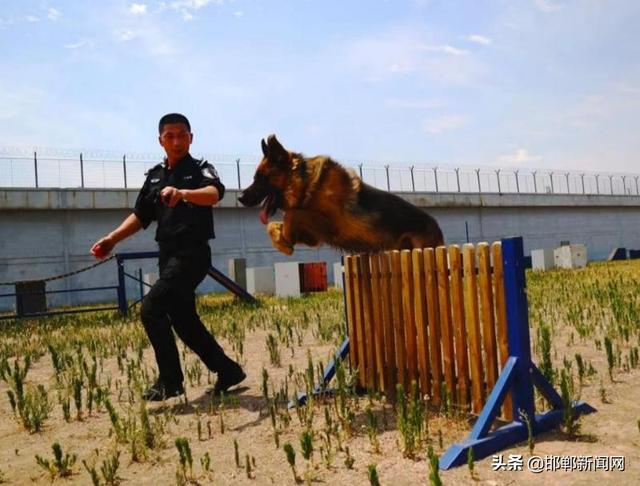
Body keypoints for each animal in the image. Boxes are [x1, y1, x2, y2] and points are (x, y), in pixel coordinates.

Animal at [238, 133, 442, 254]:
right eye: (255, 177)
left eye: (260, 178)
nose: (240, 197)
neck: (307, 184)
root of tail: (436, 225)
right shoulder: (314, 235)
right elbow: (273, 224)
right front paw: (281, 239)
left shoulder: (332, 225)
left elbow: (291, 215)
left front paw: (285, 239)